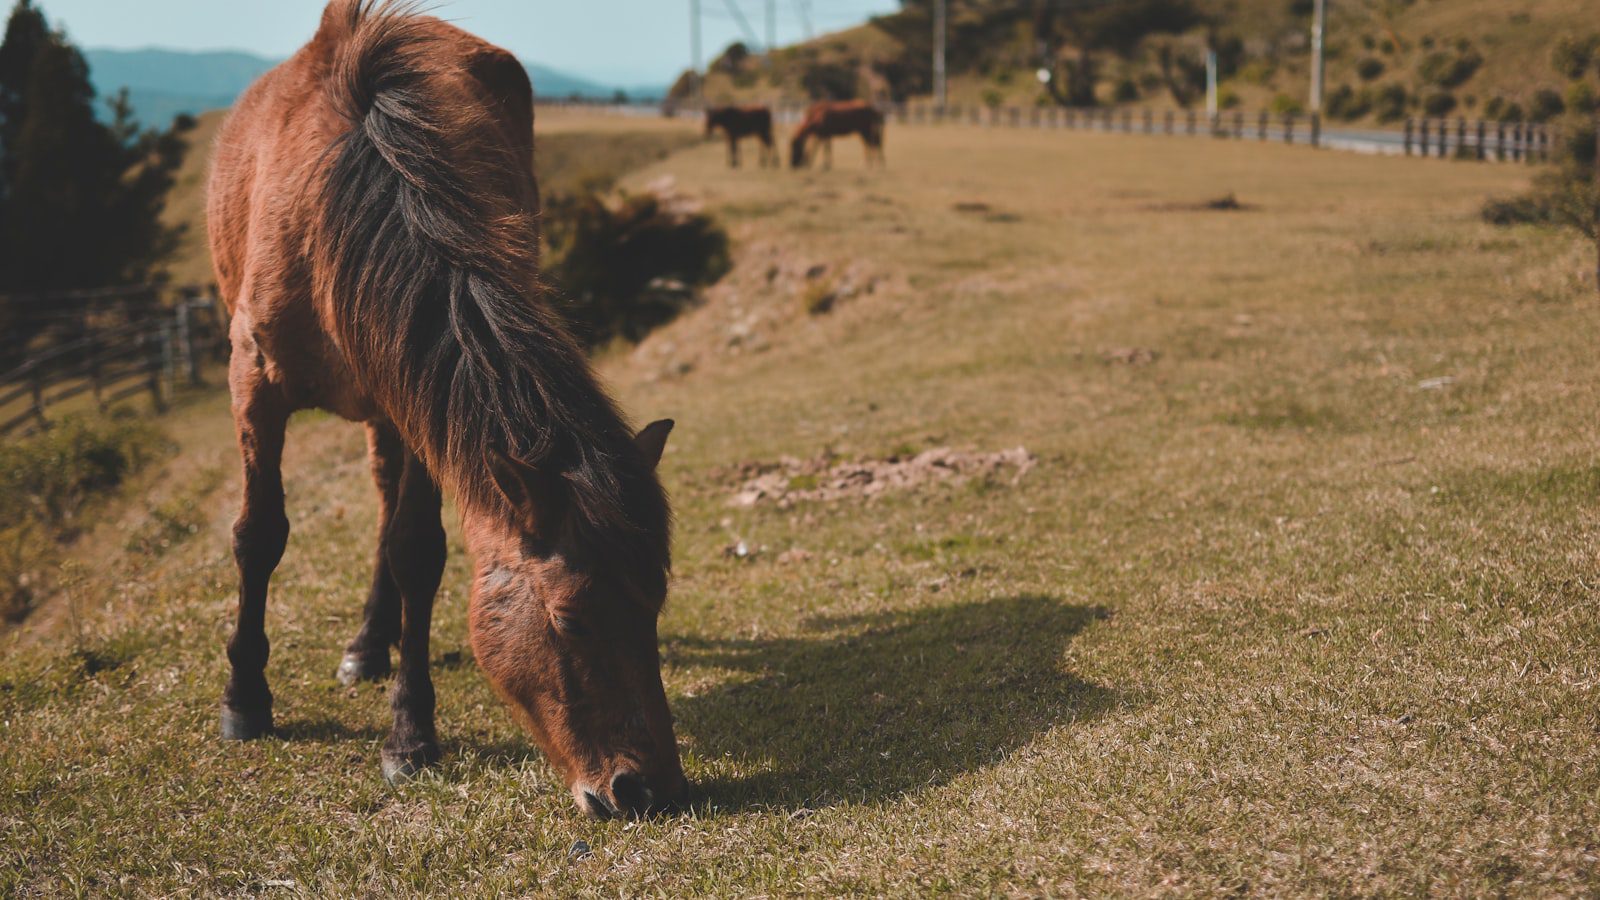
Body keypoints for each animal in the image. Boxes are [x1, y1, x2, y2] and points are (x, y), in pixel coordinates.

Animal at [206, 0, 688, 813]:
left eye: (655, 602)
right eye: (572, 620)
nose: (649, 788)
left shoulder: (415, 403)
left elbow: (415, 551)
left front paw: (409, 733)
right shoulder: (255, 379)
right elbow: (258, 533)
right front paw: (245, 698)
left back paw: (372, 644)